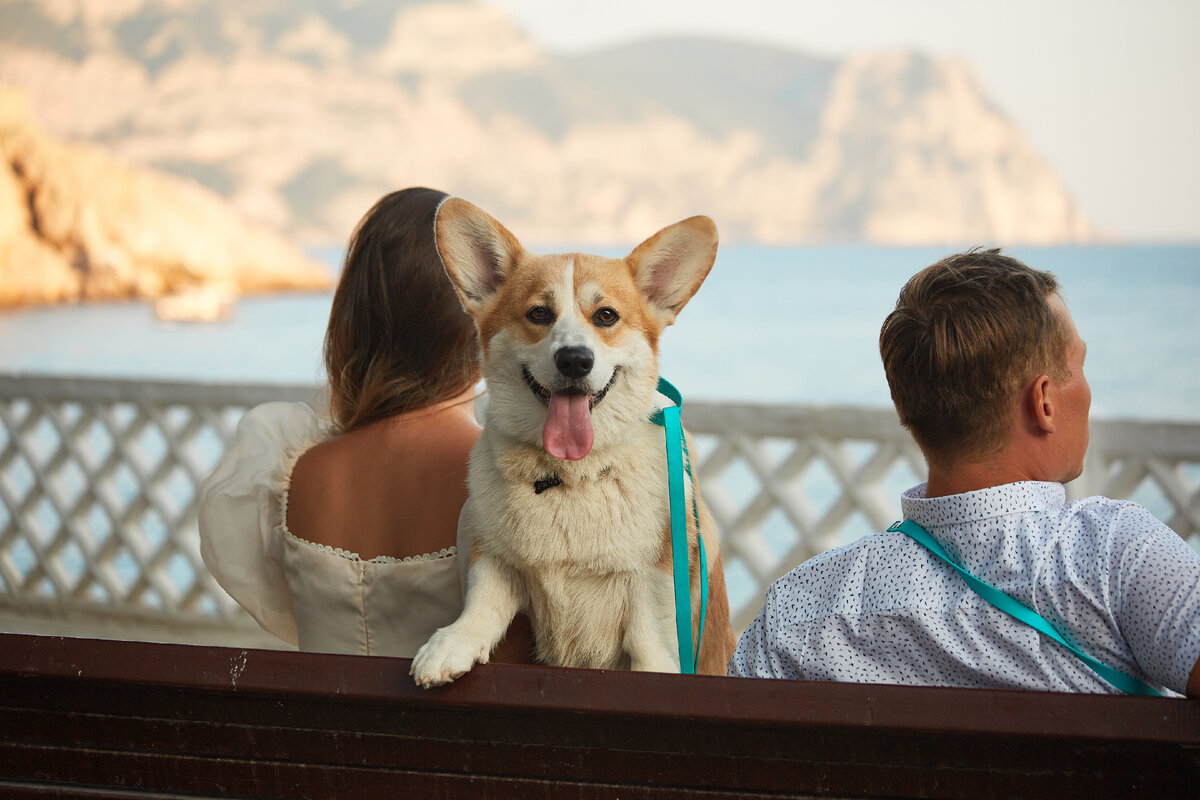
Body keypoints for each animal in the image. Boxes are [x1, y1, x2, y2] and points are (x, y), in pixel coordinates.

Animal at [410, 200, 729, 690]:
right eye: (539, 314)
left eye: (606, 316)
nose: (575, 360)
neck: (570, 474)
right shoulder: (496, 558)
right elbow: (481, 604)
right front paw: (450, 645)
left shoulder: (651, 580)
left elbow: (648, 643)